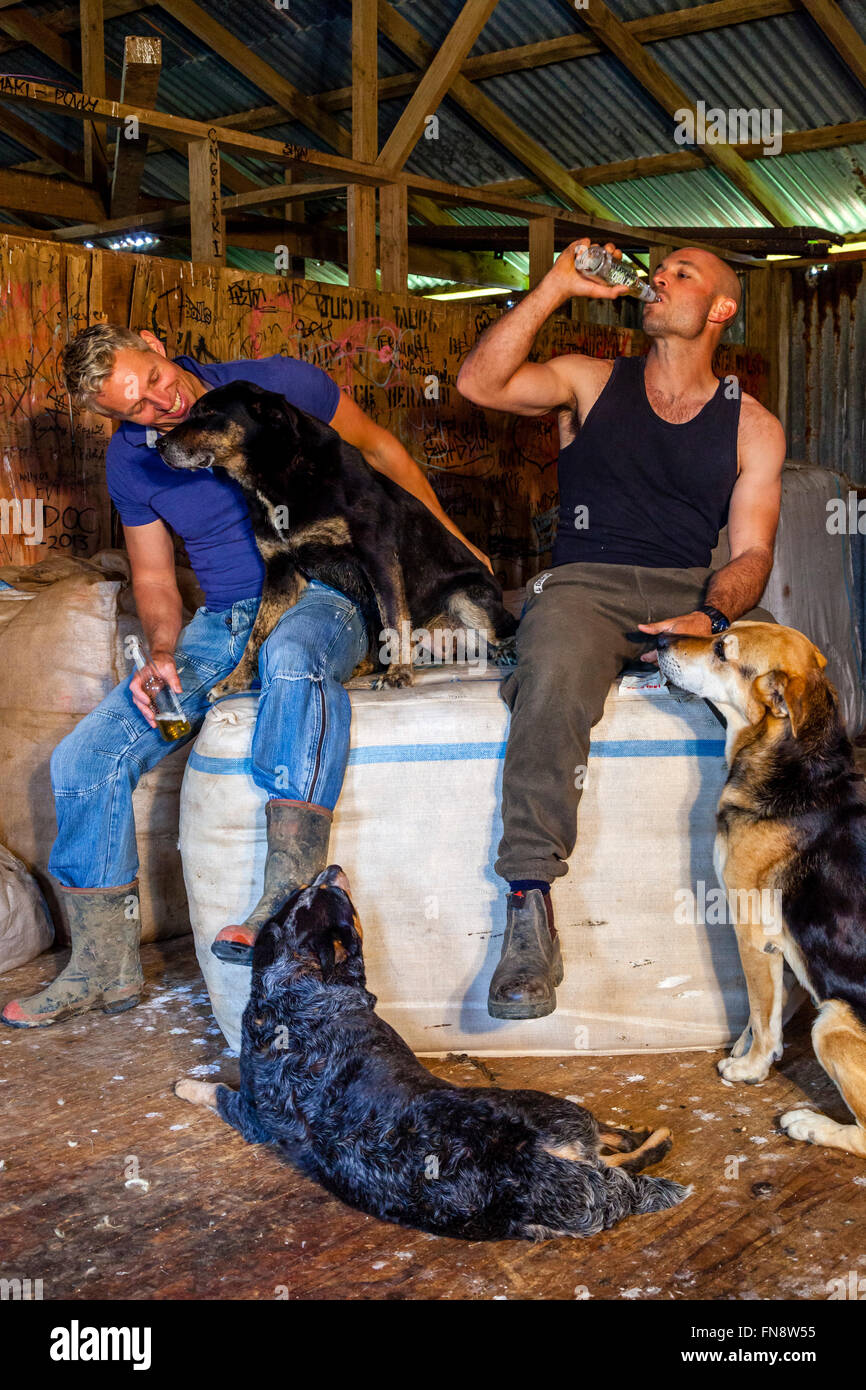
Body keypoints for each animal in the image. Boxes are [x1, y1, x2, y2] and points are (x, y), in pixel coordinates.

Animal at [156, 380, 517, 695]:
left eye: (207, 414)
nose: (158, 445)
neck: (275, 473)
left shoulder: (377, 555)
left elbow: (394, 617)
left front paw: (399, 674)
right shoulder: (280, 573)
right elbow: (257, 634)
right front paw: (236, 680)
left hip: (464, 596)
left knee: (501, 634)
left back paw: (504, 651)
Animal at [177, 861, 692, 1245]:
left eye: (307, 891)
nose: (333, 866)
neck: (303, 988)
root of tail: (540, 1160)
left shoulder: (252, 1110)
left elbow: (217, 1091)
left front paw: (185, 1084)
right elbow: (218, 1090)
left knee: (629, 1146)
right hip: (559, 1119)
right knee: (627, 1145)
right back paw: (643, 1136)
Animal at [656, 622, 866, 1162]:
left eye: (720, 649)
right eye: (719, 629)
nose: (660, 641)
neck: (795, 764)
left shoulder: (752, 930)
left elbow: (760, 1006)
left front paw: (750, 1066)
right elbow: (773, 1004)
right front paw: (748, 1048)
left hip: (830, 1023)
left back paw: (811, 1125)